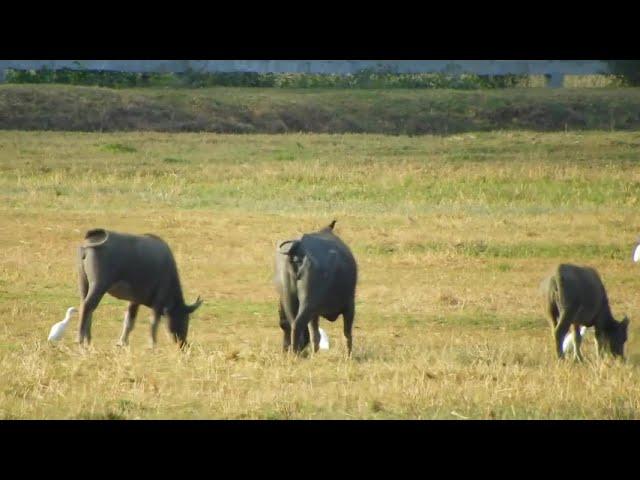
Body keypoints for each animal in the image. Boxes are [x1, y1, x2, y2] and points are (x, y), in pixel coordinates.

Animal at [274, 219, 358, 354]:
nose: (284, 349)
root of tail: (298, 246)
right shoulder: (349, 306)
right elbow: (347, 334)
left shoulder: (314, 313)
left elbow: (315, 334)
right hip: (307, 302)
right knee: (298, 325)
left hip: (288, 298)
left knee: (290, 323)